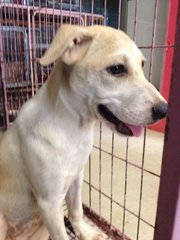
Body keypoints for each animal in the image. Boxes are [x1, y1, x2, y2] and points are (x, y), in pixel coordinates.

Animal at [0, 24, 167, 240]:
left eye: (142, 64)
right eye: (116, 69)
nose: (164, 110)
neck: (74, 131)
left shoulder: (76, 179)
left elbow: (76, 211)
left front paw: (85, 232)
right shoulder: (49, 203)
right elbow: (62, 235)